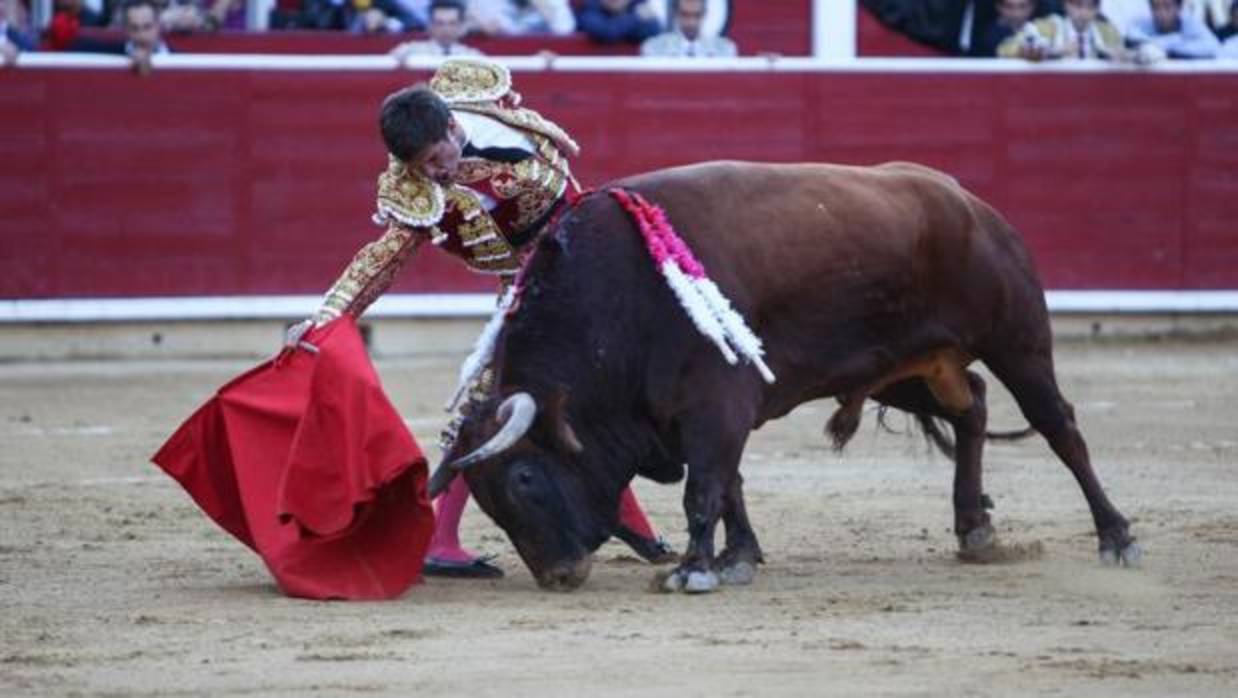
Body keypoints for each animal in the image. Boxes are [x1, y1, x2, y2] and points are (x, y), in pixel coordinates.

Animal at [428, 160, 1138, 591]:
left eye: (523, 477)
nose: (559, 574)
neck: (619, 297)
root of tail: (967, 201)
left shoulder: (714, 404)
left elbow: (705, 487)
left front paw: (695, 570)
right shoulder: (709, 414)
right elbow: (729, 484)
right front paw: (737, 557)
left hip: (1017, 338)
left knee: (1059, 427)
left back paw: (1116, 536)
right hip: (905, 367)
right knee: (972, 410)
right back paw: (974, 529)